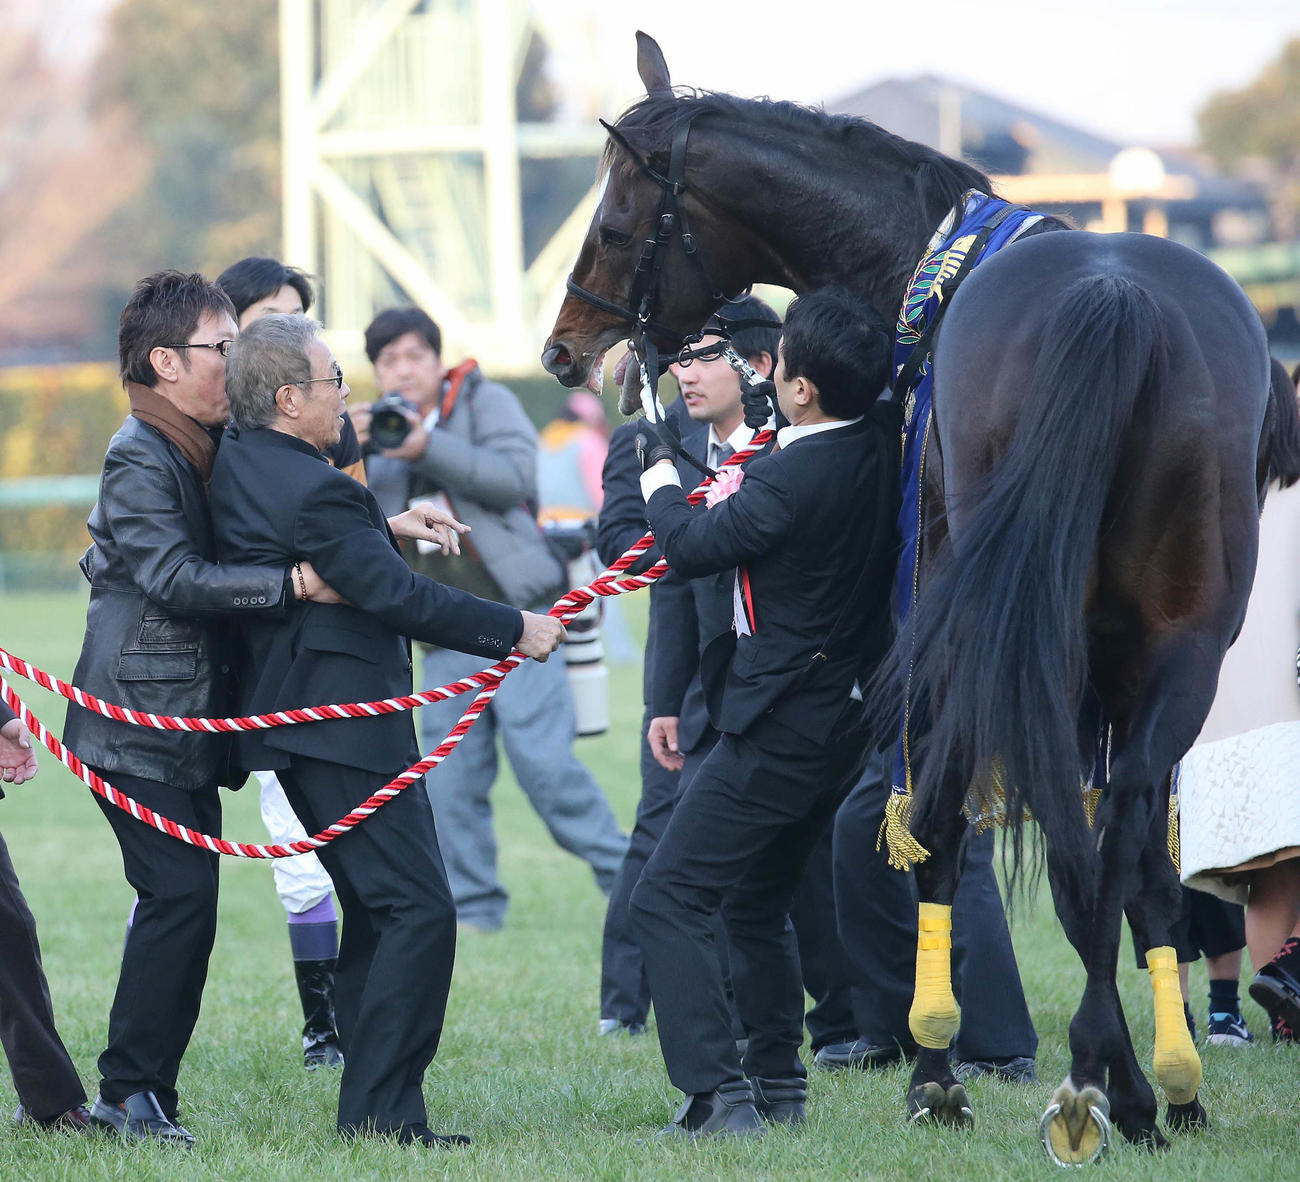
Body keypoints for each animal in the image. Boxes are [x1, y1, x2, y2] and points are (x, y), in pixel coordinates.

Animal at [543, 32, 1294, 1160]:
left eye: (615, 223)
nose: (562, 351)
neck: (928, 277)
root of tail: (1111, 300)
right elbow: (1132, 861)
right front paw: (1165, 1083)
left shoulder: (943, 633)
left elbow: (936, 821)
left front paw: (938, 1066)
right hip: (1182, 642)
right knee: (1120, 832)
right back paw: (1144, 1083)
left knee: (1058, 836)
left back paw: (1091, 1077)